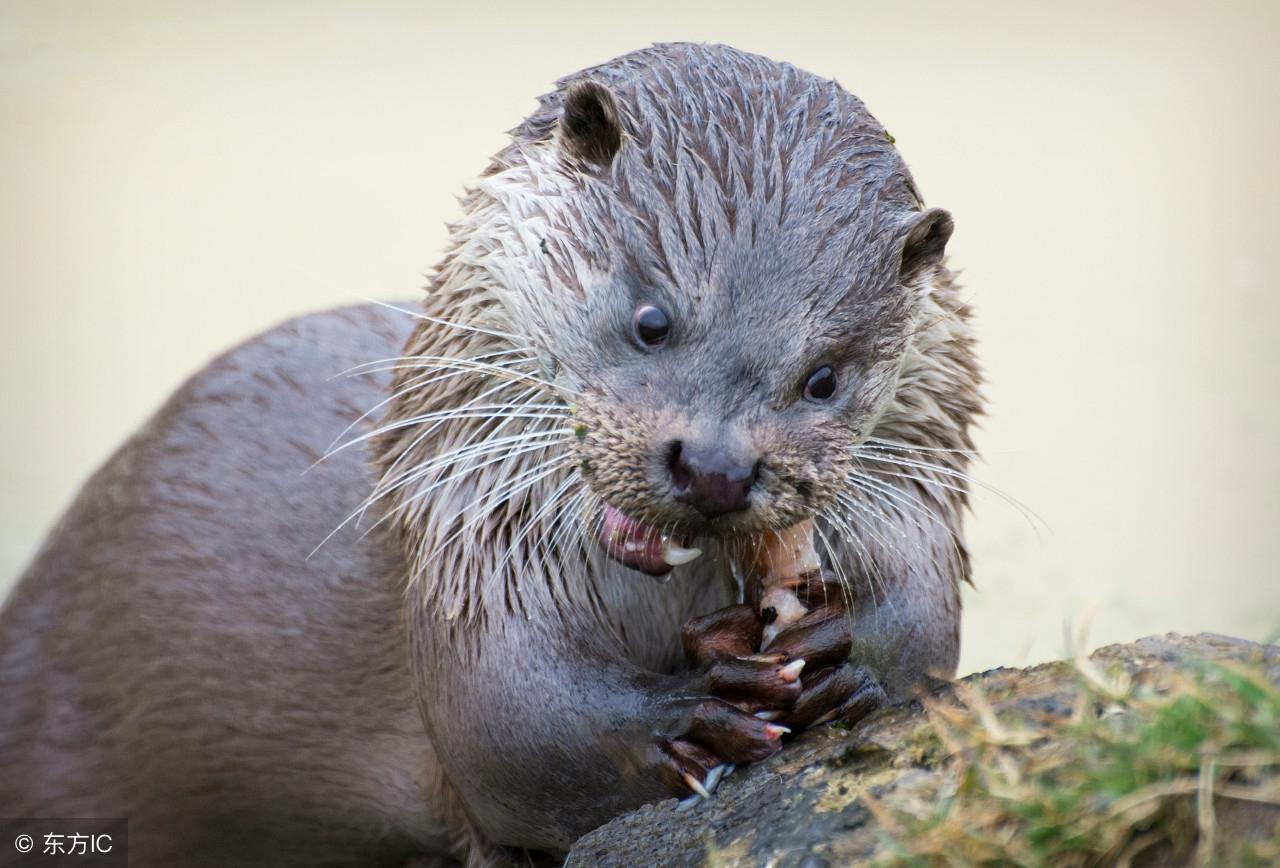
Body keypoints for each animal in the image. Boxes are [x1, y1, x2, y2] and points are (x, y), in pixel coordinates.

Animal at [0, 42, 977, 868]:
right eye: (652, 319)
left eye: (824, 377)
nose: (715, 467)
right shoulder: (469, 545)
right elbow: (510, 722)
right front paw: (688, 717)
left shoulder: (919, 493)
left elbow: (924, 629)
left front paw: (844, 655)